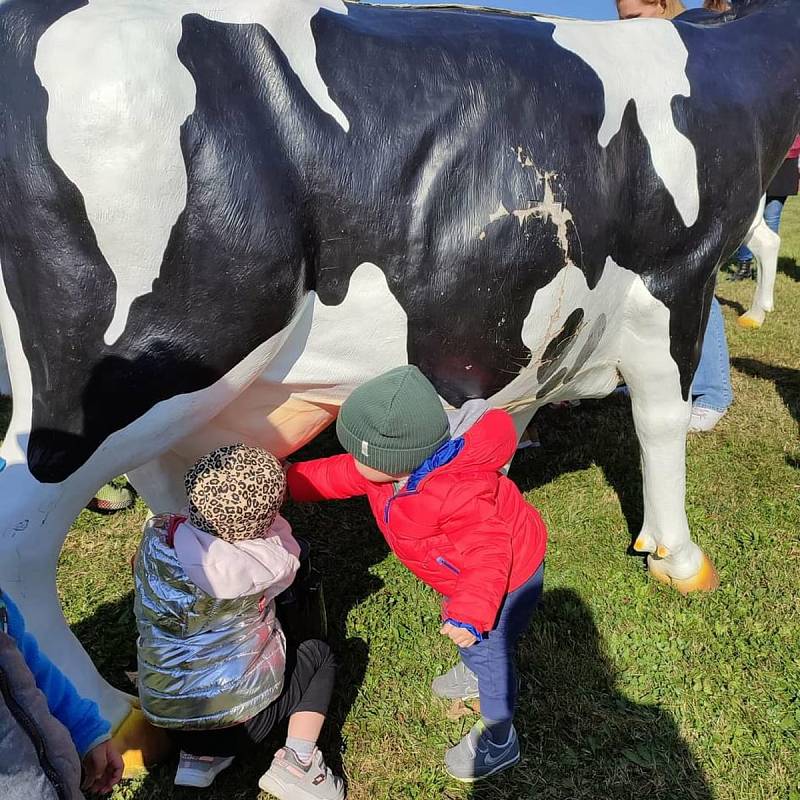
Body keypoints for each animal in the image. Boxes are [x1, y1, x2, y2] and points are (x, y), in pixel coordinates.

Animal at [0, 0, 796, 768]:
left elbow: (503, 425)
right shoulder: (676, 277)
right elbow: (661, 418)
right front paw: (677, 555)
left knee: (166, 490)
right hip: (122, 364)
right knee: (22, 537)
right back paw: (115, 722)